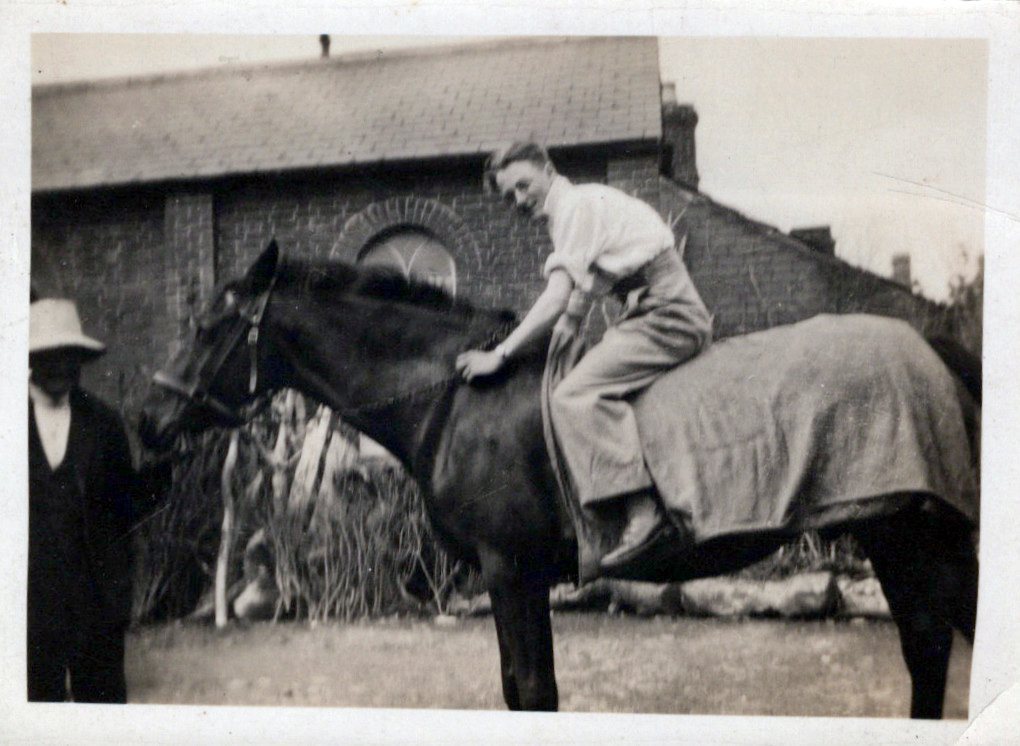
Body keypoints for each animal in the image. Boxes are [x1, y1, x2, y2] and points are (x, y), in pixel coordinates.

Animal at [139, 243, 975, 718]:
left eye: (209, 327)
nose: (148, 419)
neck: (456, 395)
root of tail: (932, 348)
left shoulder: (511, 571)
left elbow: (533, 693)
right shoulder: (519, 576)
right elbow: (525, 690)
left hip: (914, 535)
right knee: (929, 647)